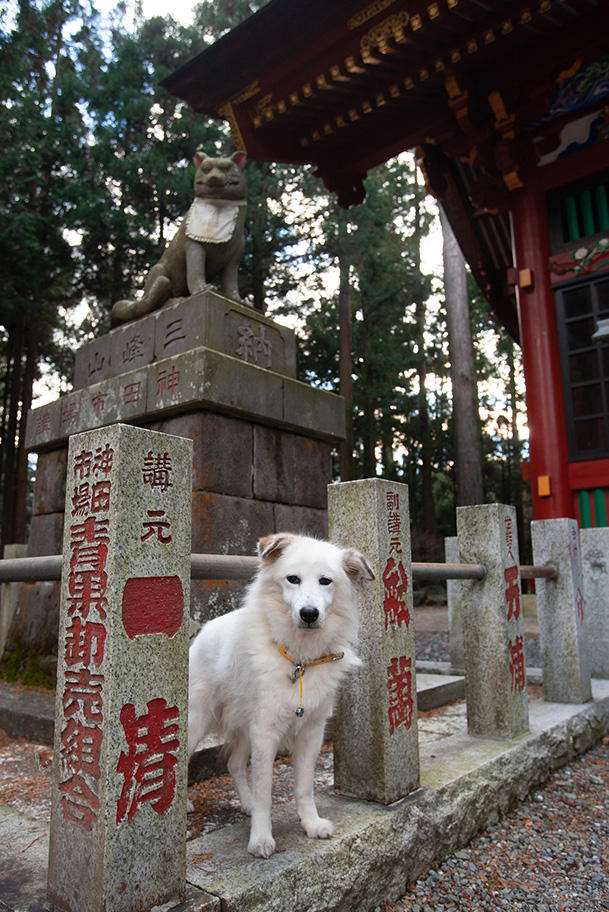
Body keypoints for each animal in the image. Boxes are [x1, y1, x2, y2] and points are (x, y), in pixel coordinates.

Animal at [188, 532, 372, 860]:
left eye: (326, 581)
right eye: (292, 579)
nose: (309, 614)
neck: (299, 660)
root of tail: (204, 630)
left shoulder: (311, 732)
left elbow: (304, 787)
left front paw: (311, 824)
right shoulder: (265, 733)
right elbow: (265, 793)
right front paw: (261, 839)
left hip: (244, 727)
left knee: (234, 764)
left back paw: (245, 804)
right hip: (196, 722)